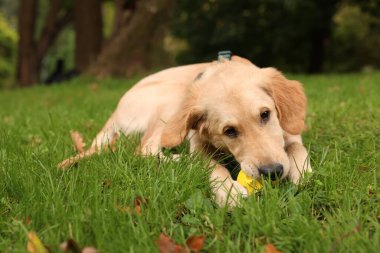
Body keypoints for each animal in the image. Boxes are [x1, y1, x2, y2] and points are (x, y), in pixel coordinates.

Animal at [58, 55, 310, 208]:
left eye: (266, 114)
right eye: (229, 131)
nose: (272, 172)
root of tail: (117, 108)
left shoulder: (290, 134)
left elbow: (298, 150)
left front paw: (301, 174)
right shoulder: (197, 142)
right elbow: (212, 166)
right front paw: (229, 191)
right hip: (171, 101)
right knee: (145, 149)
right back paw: (183, 161)